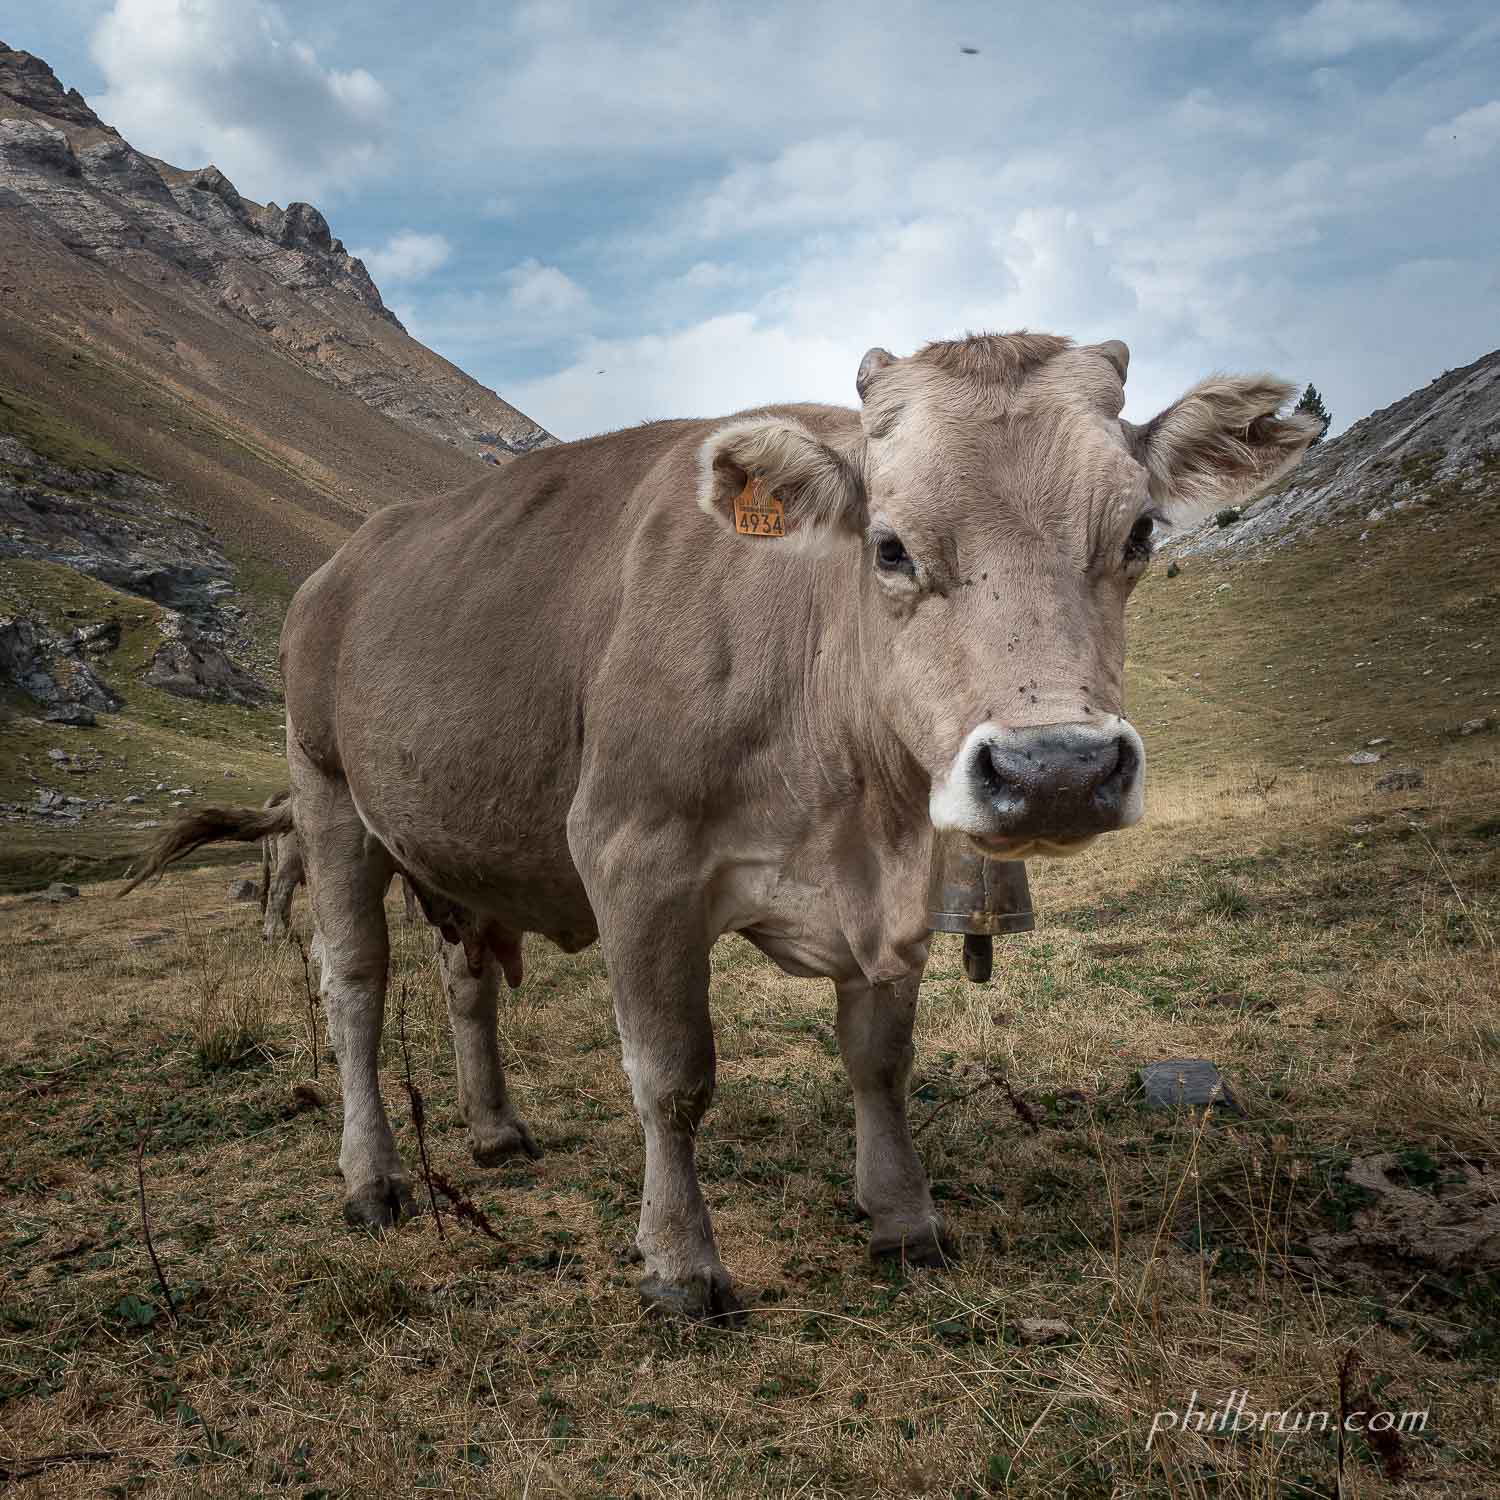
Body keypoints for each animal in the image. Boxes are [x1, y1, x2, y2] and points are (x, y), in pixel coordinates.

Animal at [123, 331, 1318, 1321]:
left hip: (458, 839)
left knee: (465, 978)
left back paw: (496, 1130)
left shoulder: (899, 887)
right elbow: (673, 1077)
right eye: (889, 547)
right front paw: (680, 1264)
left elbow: (880, 1060)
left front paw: (903, 1218)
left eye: (1139, 531)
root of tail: (342, 562)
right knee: (356, 987)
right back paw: (371, 1178)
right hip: (326, 792)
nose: (1058, 770)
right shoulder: (633, 860)